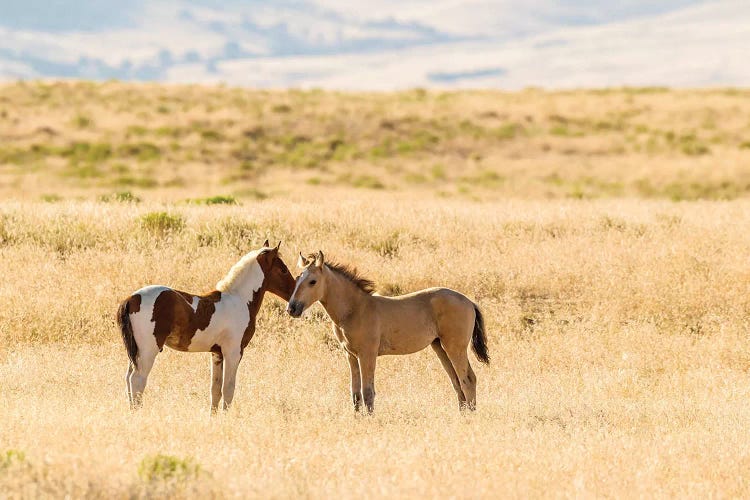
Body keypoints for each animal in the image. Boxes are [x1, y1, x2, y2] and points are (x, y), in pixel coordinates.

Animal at [116, 241, 296, 410]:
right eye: (283, 270)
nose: (293, 299)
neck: (240, 299)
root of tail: (131, 299)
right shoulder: (233, 352)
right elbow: (228, 389)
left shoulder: (217, 354)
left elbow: (215, 390)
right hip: (148, 350)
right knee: (137, 380)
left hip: (136, 352)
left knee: (128, 379)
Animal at [284, 250, 490, 414]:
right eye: (297, 278)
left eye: (312, 281)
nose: (292, 309)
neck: (355, 309)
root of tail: (469, 302)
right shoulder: (350, 355)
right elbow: (355, 394)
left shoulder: (367, 354)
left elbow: (368, 392)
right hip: (439, 347)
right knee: (456, 382)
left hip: (455, 348)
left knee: (468, 379)